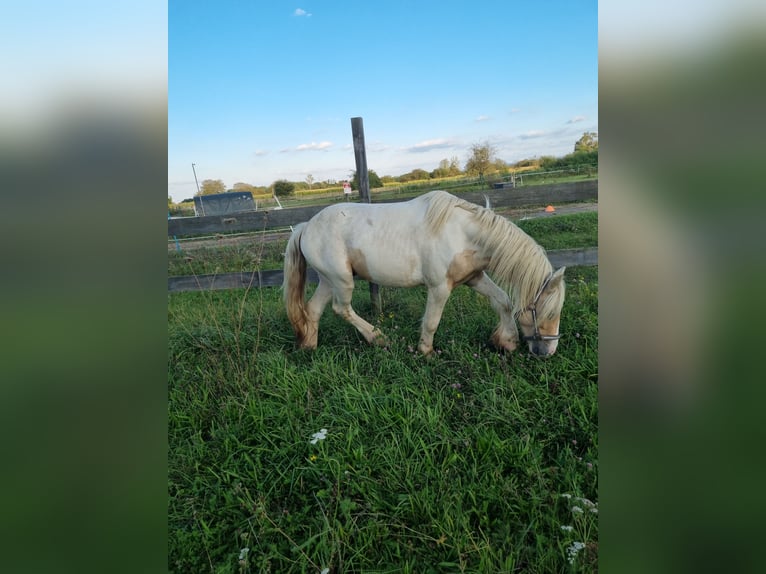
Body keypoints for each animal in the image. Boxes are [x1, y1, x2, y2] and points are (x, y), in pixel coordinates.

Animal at [284, 191, 568, 358]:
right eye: (548, 312)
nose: (549, 351)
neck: (463, 232)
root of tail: (305, 226)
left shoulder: (474, 278)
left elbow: (503, 302)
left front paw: (506, 342)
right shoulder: (440, 287)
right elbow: (432, 321)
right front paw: (426, 351)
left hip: (328, 280)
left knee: (313, 310)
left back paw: (309, 346)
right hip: (342, 281)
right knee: (341, 309)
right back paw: (378, 338)